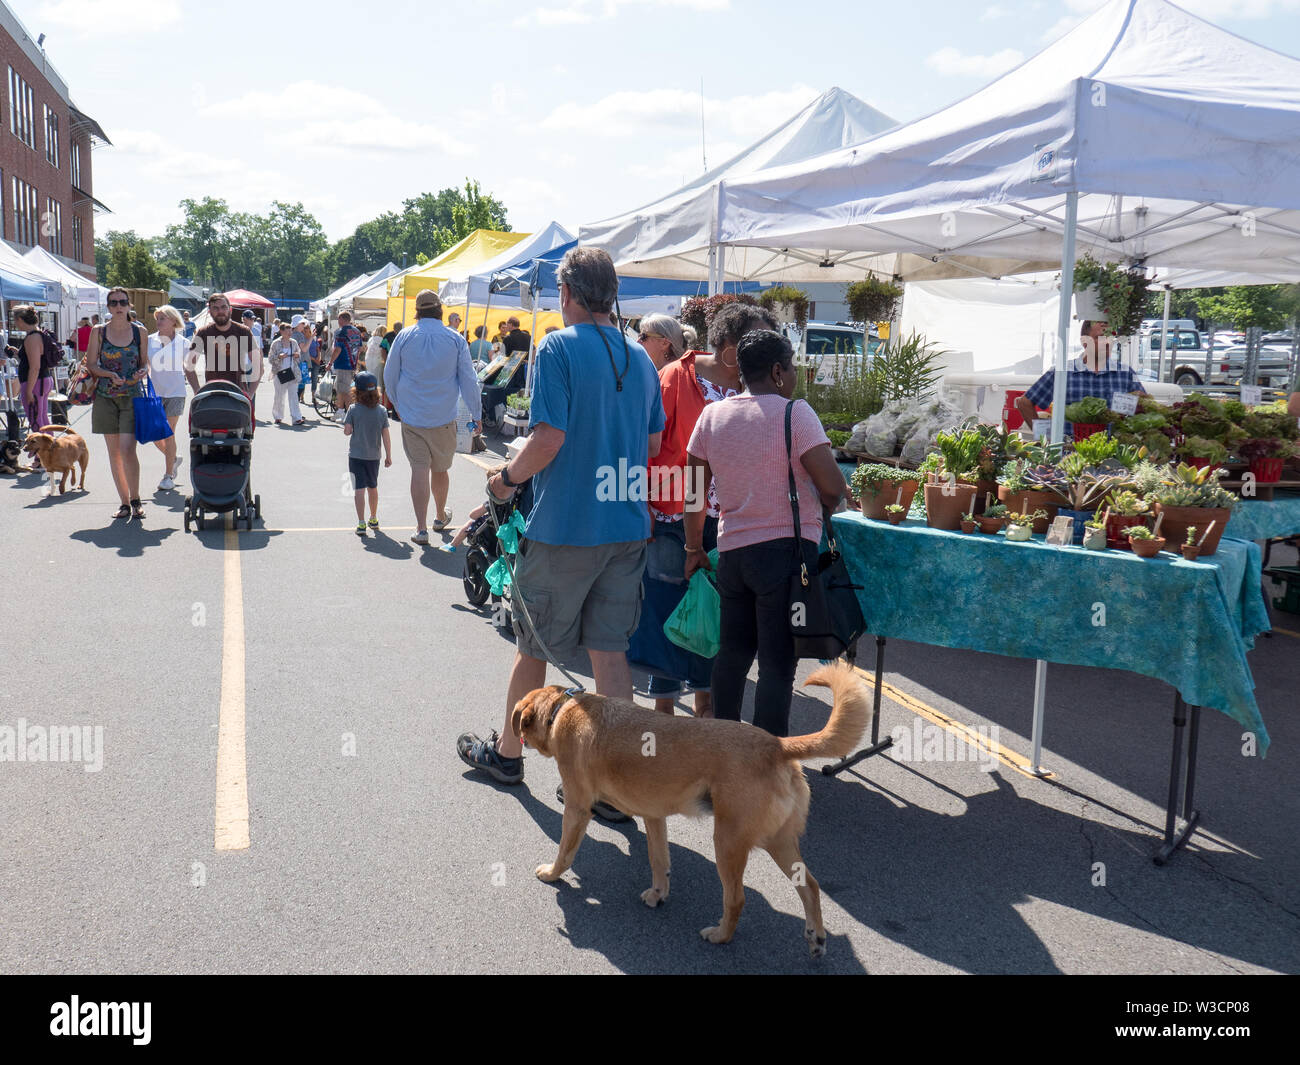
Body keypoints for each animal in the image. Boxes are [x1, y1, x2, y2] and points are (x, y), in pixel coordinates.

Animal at [512, 665, 868, 957]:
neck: (561, 710)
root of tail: (777, 745)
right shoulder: (654, 818)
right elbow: (659, 861)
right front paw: (658, 894)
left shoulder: (577, 809)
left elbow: (565, 852)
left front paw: (552, 874)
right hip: (779, 842)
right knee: (810, 886)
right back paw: (816, 937)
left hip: (728, 842)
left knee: (736, 899)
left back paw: (720, 935)